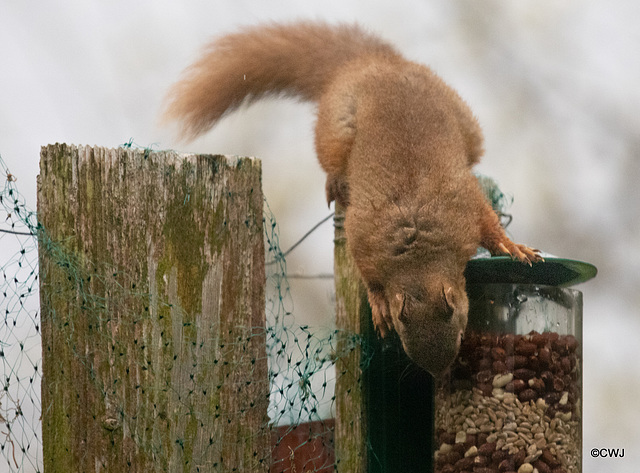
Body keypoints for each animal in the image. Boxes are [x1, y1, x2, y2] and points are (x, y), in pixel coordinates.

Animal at [162, 22, 544, 376]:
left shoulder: (464, 204)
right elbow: (369, 277)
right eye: (406, 343)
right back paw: (334, 186)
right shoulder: (362, 238)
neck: (419, 255)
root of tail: (375, 63)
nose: (439, 373)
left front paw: (514, 248)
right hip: (334, 135)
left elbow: (490, 224)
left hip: (466, 125)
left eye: (462, 330)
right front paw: (379, 306)